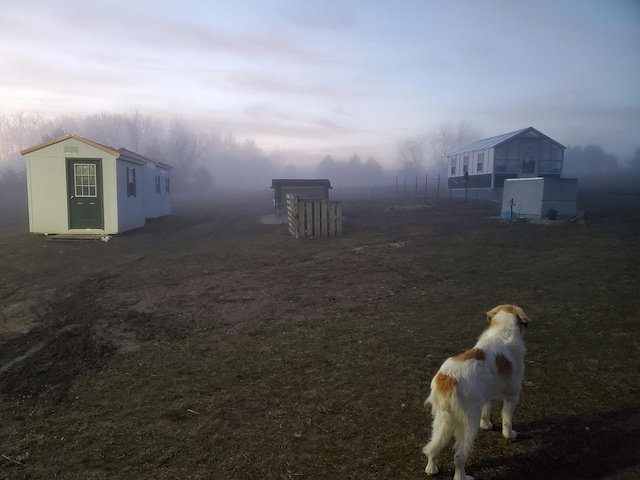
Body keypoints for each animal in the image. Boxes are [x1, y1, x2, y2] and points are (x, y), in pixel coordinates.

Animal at [420, 304, 528, 480]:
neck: (502, 329)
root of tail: (449, 379)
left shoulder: (485, 396)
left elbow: (486, 411)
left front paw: (487, 425)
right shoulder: (512, 395)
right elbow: (507, 420)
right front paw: (510, 435)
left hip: (442, 419)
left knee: (434, 446)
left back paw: (431, 468)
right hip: (468, 423)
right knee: (459, 456)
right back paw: (462, 477)